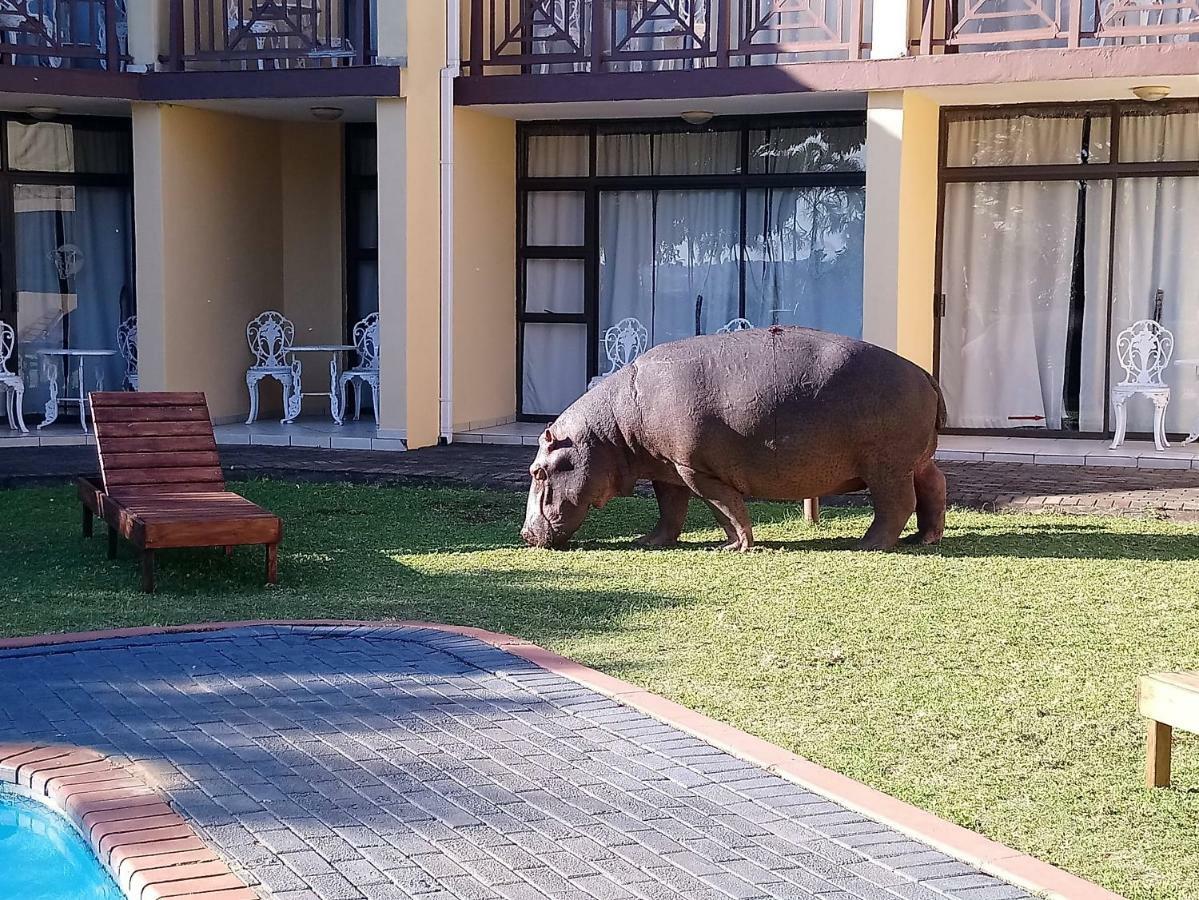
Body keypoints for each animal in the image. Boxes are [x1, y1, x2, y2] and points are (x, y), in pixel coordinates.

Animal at [522, 323, 944, 548]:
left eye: (538, 472)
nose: (525, 534)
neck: (607, 432)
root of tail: (924, 373)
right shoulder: (666, 468)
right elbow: (670, 509)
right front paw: (648, 541)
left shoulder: (694, 469)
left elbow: (723, 506)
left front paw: (735, 546)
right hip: (914, 460)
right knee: (933, 486)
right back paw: (924, 539)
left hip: (885, 466)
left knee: (896, 503)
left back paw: (867, 545)